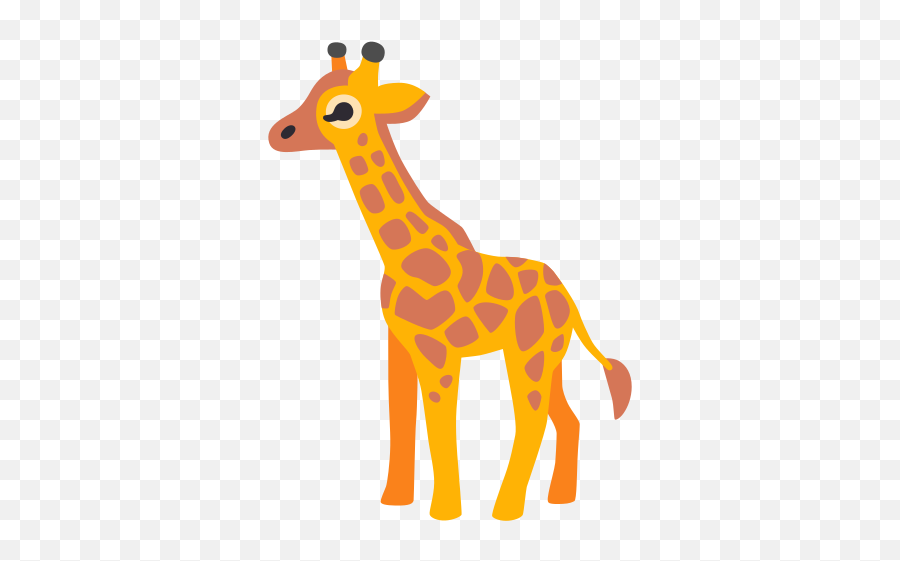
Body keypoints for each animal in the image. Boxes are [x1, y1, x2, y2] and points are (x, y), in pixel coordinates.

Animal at [269, 41, 632, 521]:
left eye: (341, 109)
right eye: (311, 91)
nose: (280, 133)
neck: (401, 257)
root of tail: (569, 300)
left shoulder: (438, 351)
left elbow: (440, 424)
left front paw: (444, 511)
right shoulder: (401, 346)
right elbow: (401, 418)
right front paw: (394, 500)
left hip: (529, 352)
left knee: (531, 418)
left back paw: (506, 509)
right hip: (549, 354)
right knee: (565, 418)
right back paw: (559, 498)